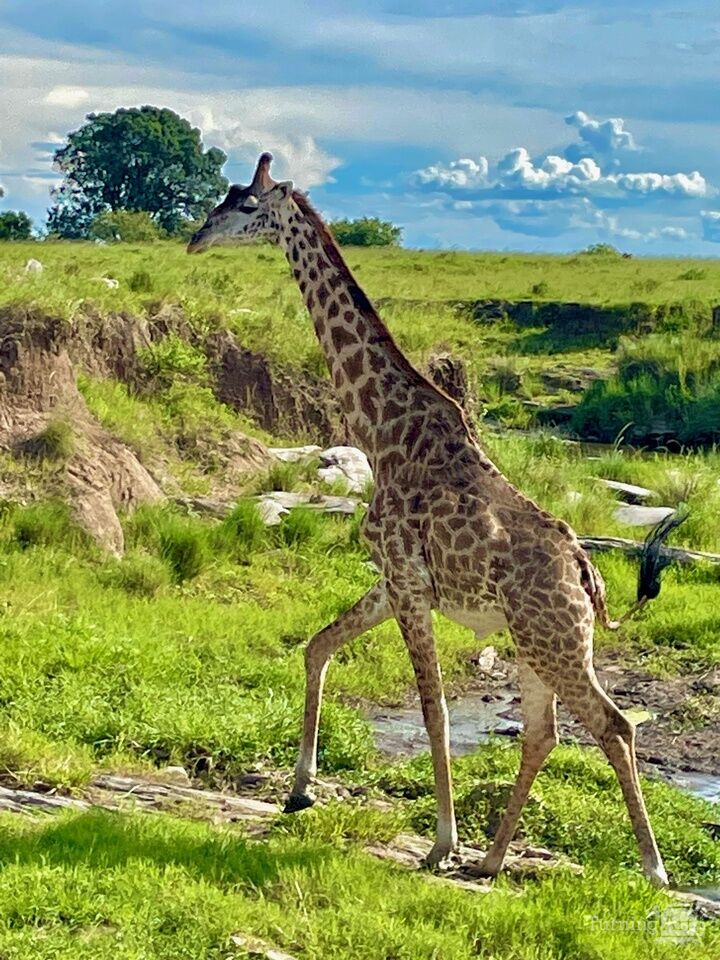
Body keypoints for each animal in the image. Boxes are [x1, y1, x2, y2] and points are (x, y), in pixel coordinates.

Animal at [187, 153, 670, 887]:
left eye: (244, 205)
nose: (194, 238)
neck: (381, 430)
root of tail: (588, 578)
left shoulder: (408, 584)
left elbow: (433, 709)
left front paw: (441, 843)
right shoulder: (393, 580)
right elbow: (317, 646)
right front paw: (298, 789)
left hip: (554, 641)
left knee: (613, 725)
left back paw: (651, 869)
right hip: (537, 640)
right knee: (544, 732)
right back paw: (493, 859)